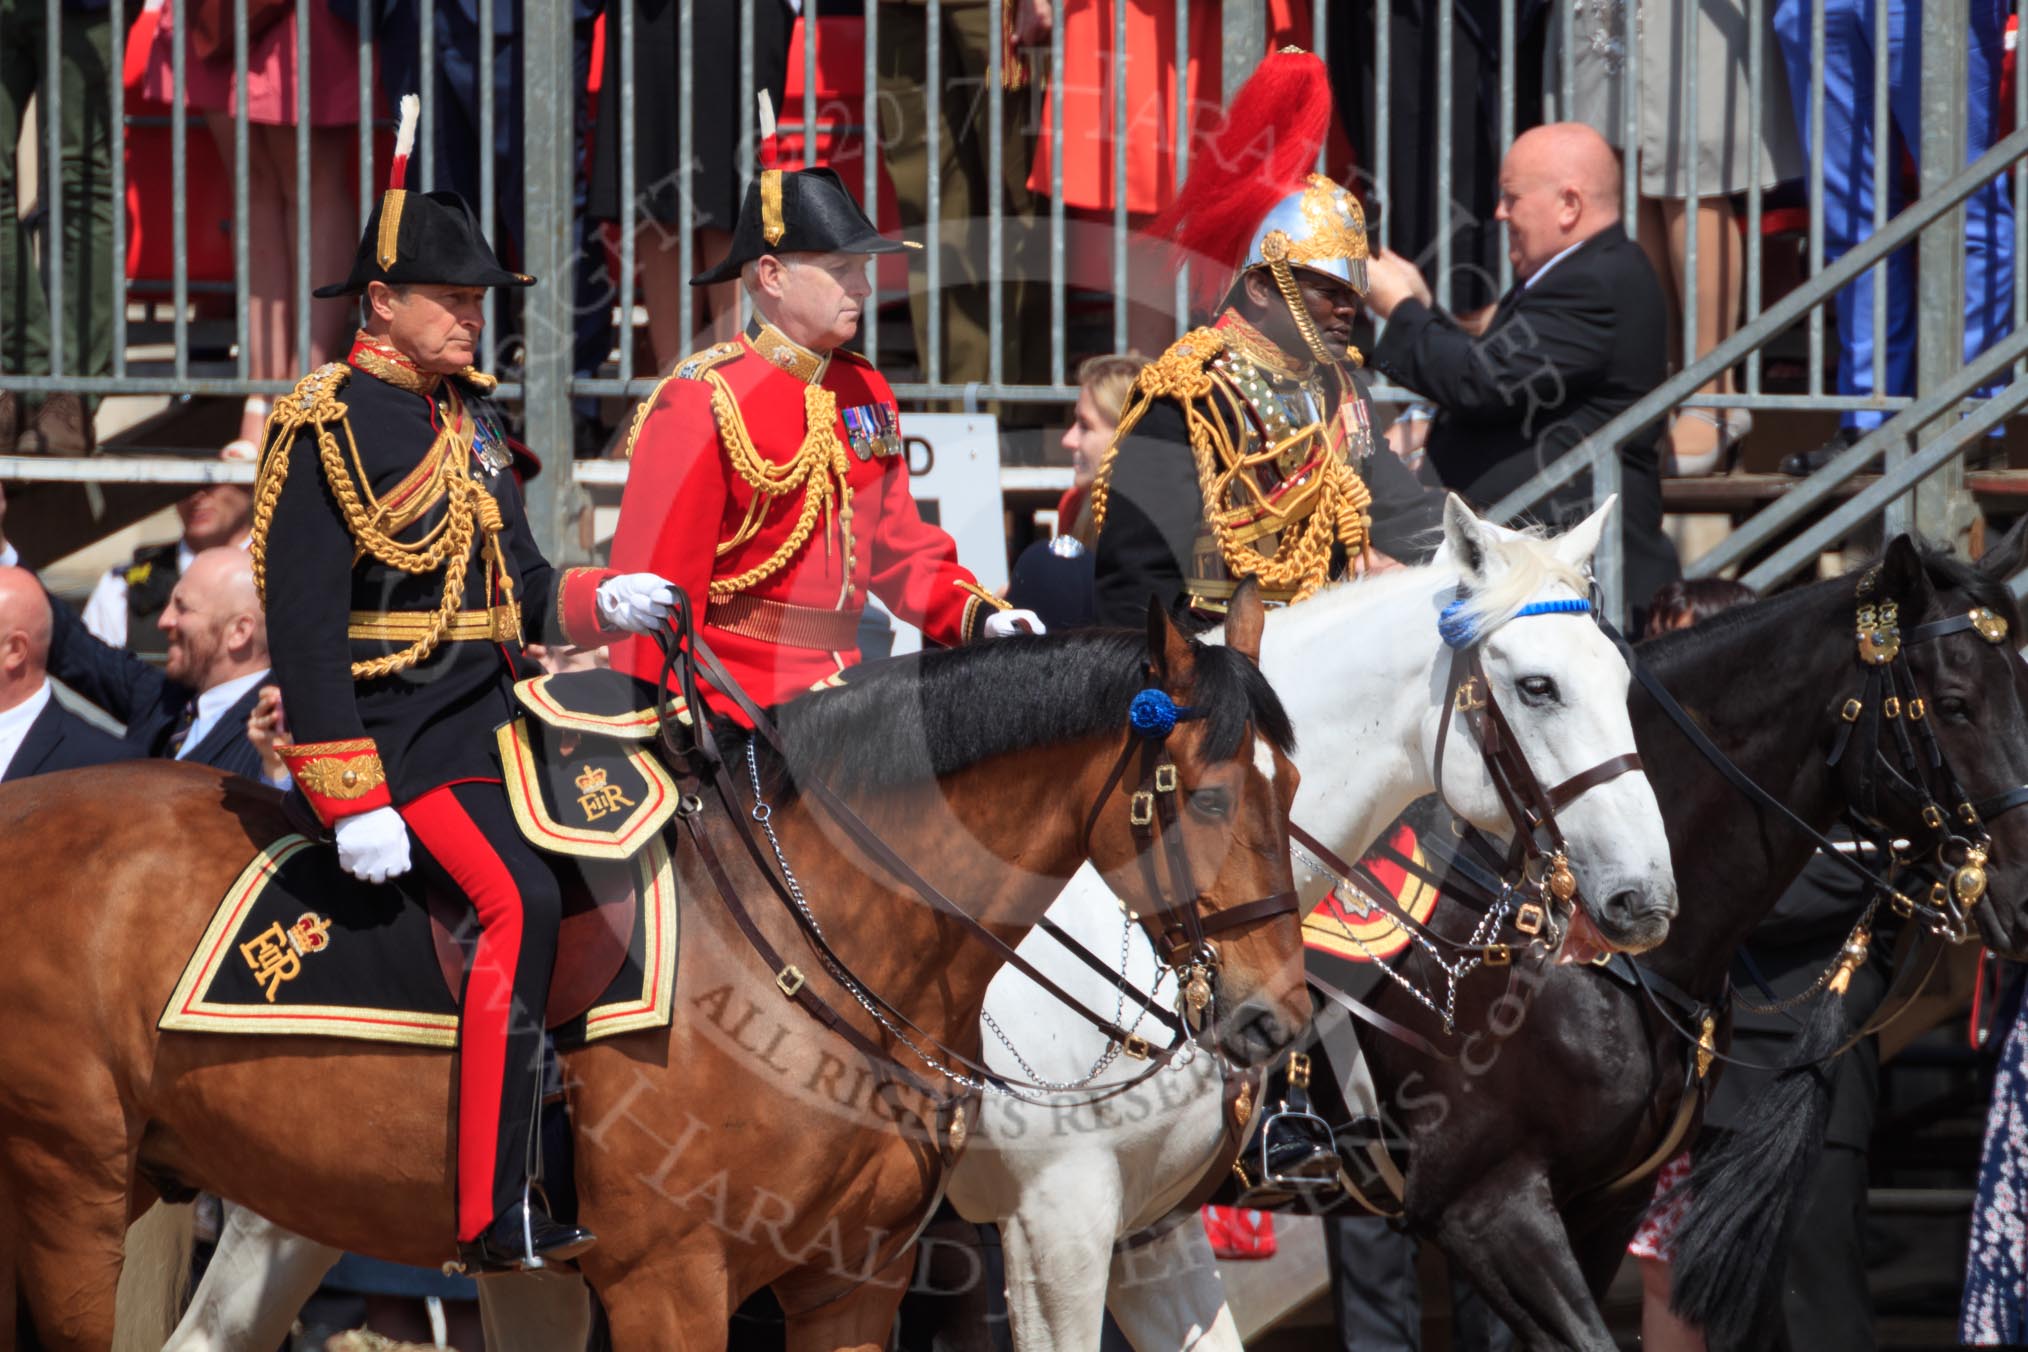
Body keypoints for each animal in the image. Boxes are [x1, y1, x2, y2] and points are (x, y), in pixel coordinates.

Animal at [0, 595, 1306, 1352]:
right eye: (1208, 796)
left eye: (1290, 789)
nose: (1275, 1018)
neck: (809, 934)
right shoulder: (671, 1279)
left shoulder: (855, 1282)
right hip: (70, 1188)